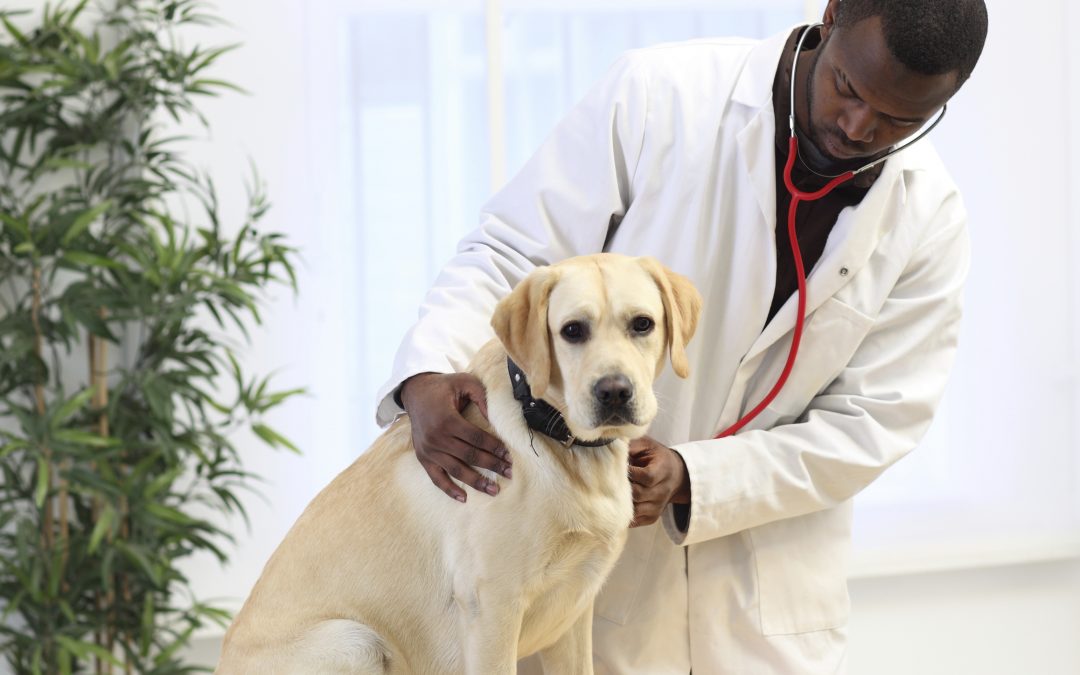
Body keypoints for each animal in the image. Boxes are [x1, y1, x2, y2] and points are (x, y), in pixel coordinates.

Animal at [216, 253, 704, 673]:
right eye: (572, 330)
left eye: (642, 324)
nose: (615, 392)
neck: (556, 436)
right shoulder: (492, 608)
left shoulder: (574, 610)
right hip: (354, 640)